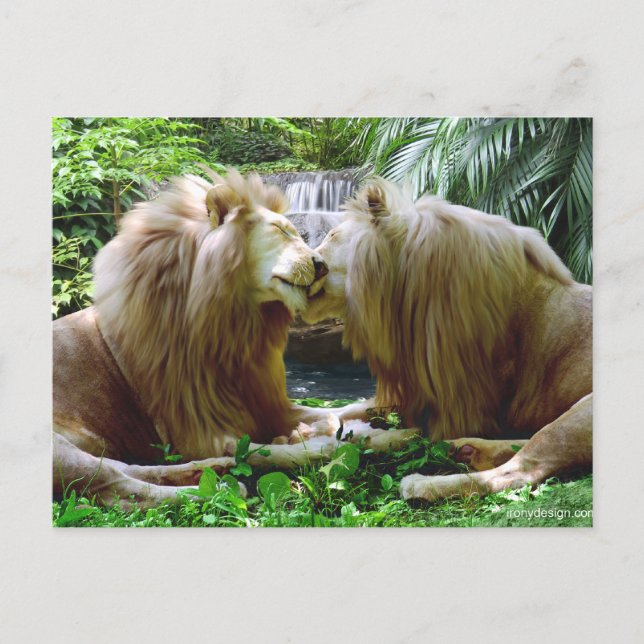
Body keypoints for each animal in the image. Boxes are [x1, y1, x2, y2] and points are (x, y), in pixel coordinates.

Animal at [53, 168, 348, 508]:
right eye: (280, 231)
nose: (322, 266)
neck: (234, 328)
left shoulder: (262, 403)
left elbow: (335, 414)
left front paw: (312, 428)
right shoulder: (197, 433)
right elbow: (268, 453)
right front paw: (315, 444)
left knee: (129, 471)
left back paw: (210, 470)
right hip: (57, 449)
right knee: (121, 489)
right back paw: (219, 488)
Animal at [303, 178, 592, 503]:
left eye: (332, 235)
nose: (305, 260)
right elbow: (348, 407)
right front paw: (307, 422)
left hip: (584, 410)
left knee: (521, 469)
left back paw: (422, 484)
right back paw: (465, 448)